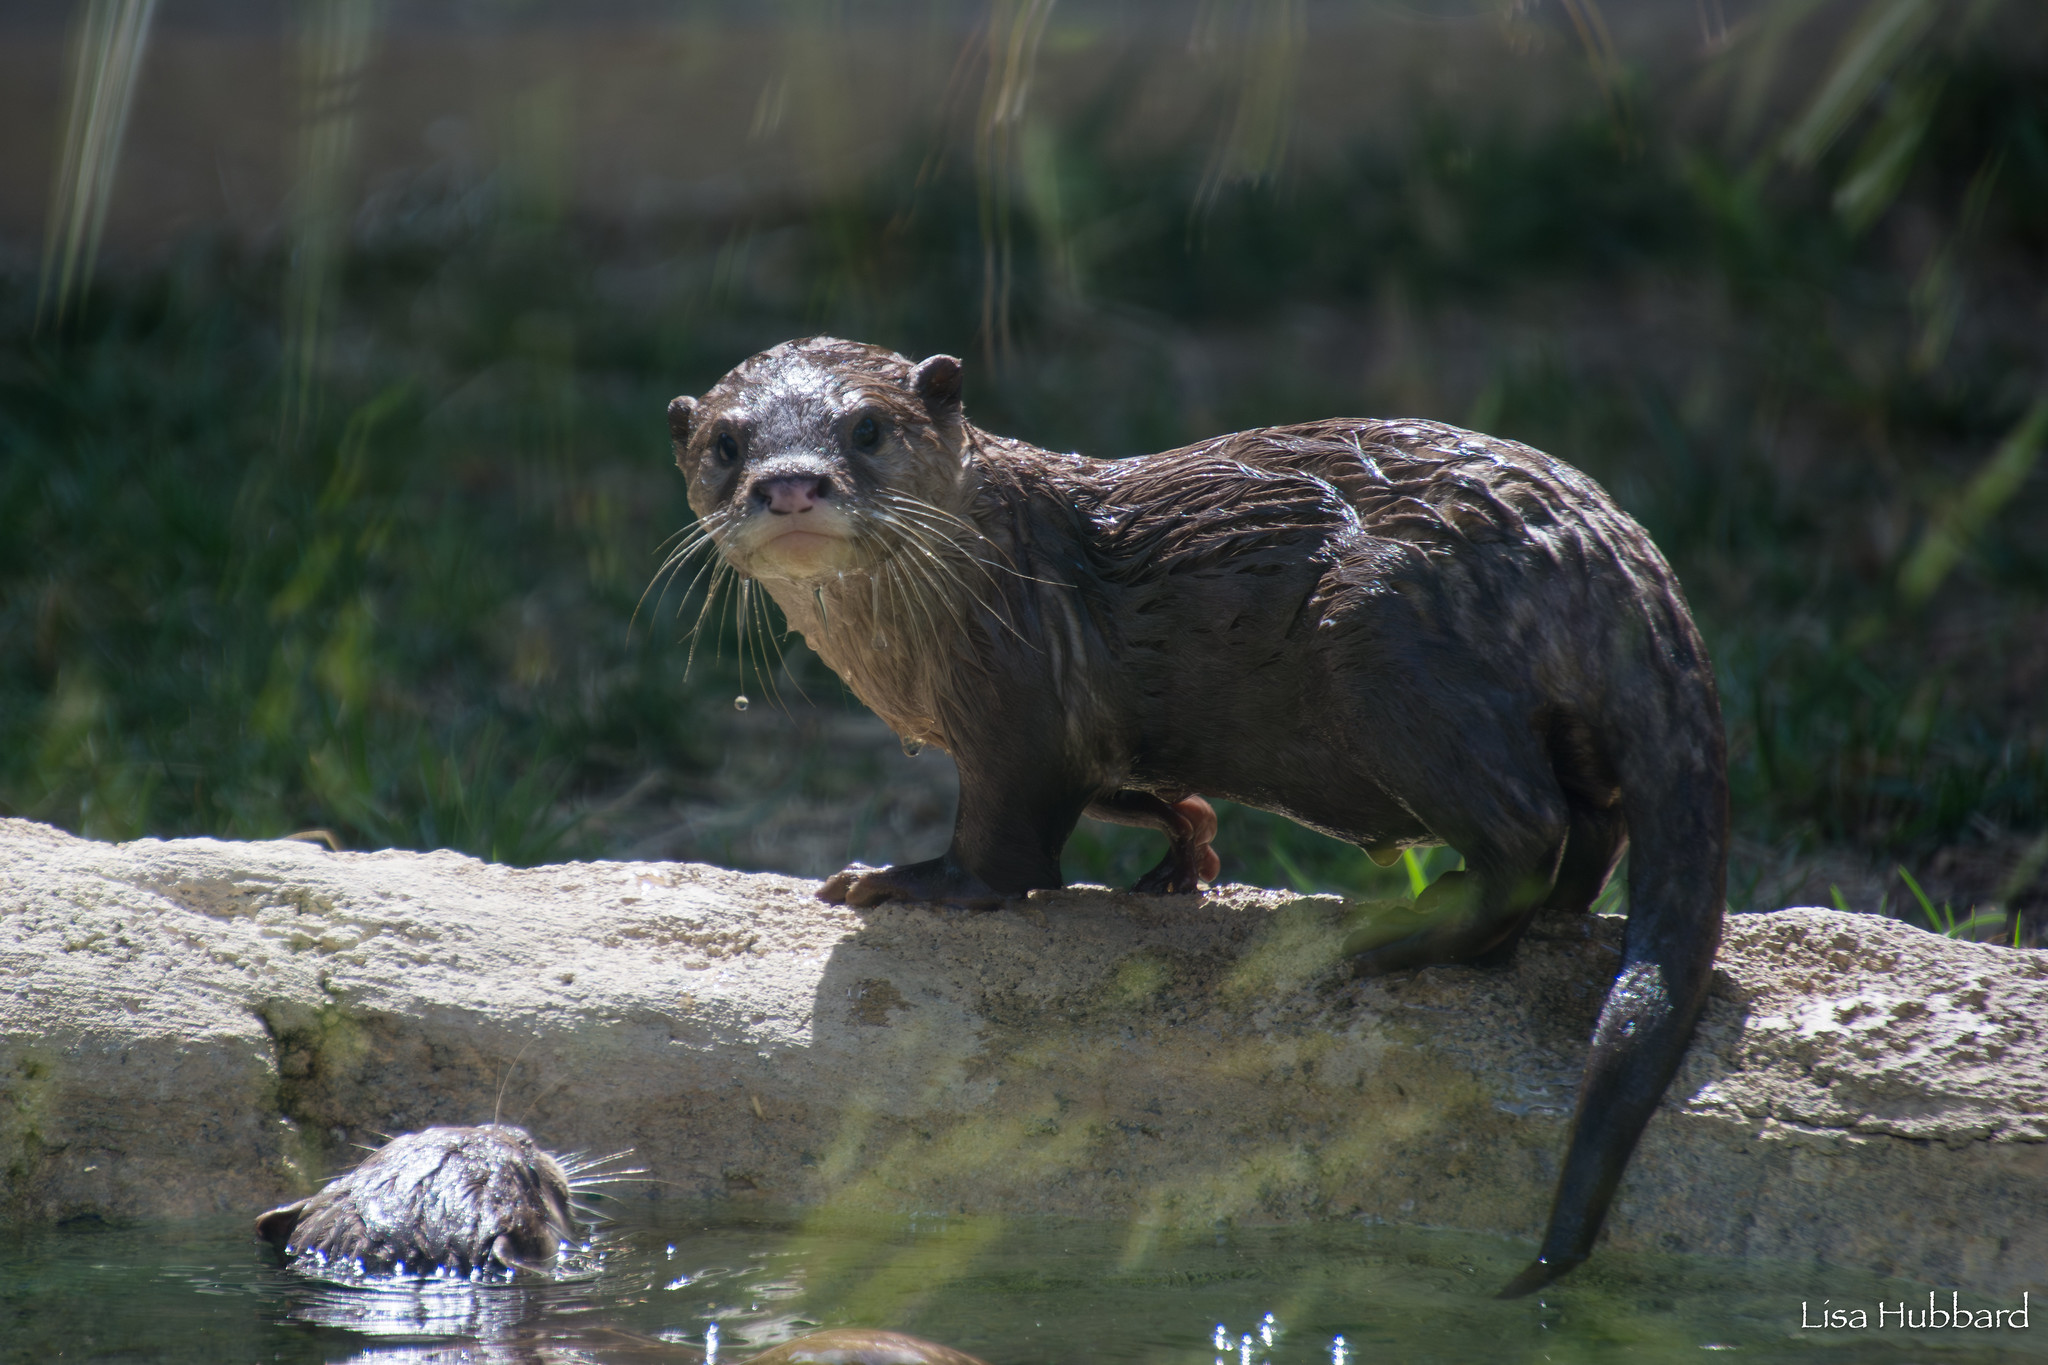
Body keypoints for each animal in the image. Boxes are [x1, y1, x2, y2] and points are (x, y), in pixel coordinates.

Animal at [664, 337, 1727, 1297]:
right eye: (726, 442)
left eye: (867, 429)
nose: (790, 485)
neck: (962, 589)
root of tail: (1605, 545)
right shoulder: (1091, 740)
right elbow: (1127, 791)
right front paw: (1184, 857)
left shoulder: (1014, 698)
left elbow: (1007, 854)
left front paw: (896, 879)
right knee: (1592, 824)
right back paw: (1554, 919)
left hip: (1382, 626)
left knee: (1529, 830)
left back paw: (1392, 940)